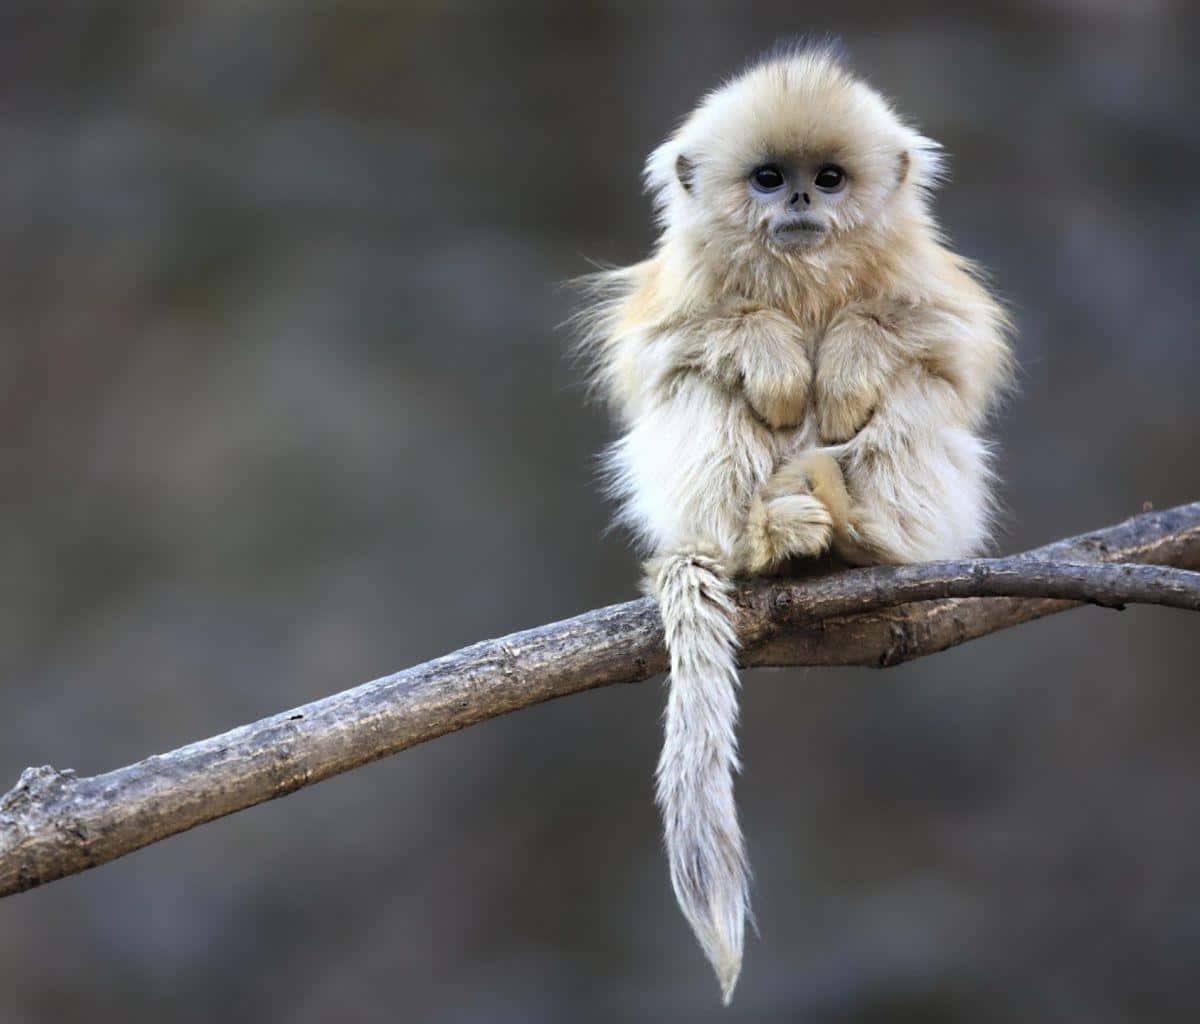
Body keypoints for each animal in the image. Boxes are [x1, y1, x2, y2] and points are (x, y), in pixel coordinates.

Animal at [576, 43, 1008, 1003]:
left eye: (831, 178)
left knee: (915, 391)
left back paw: (857, 533)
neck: (804, 277)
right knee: (699, 388)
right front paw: (774, 357)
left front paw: (844, 365)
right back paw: (766, 539)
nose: (803, 202)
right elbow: (672, 351)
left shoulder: (926, 284)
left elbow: (945, 347)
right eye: (769, 178)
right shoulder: (679, 294)